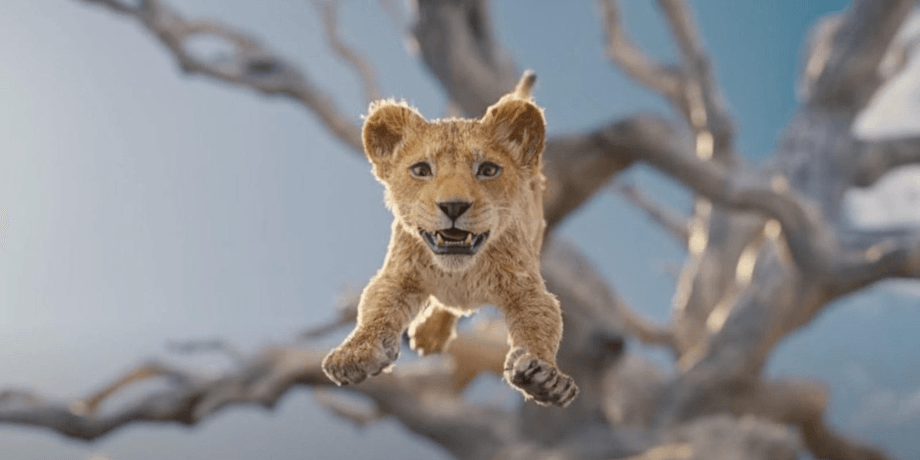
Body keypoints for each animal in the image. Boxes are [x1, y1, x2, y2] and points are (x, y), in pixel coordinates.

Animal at [321, 73, 578, 407]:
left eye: (488, 169)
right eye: (421, 169)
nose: (454, 206)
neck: (460, 272)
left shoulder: (527, 288)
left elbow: (541, 324)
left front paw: (545, 377)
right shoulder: (399, 274)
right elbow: (375, 308)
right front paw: (354, 354)